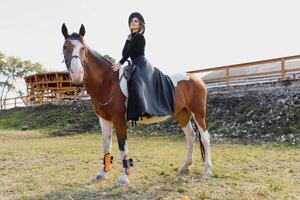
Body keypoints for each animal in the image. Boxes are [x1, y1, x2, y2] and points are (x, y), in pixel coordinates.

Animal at [59, 24, 212, 187]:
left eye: (84, 49)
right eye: (65, 47)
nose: (77, 74)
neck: (108, 81)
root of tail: (196, 78)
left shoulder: (119, 119)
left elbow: (122, 146)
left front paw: (124, 177)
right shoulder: (104, 119)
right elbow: (106, 145)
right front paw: (102, 173)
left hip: (198, 114)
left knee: (205, 138)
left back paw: (208, 172)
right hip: (182, 114)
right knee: (190, 136)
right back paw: (186, 166)